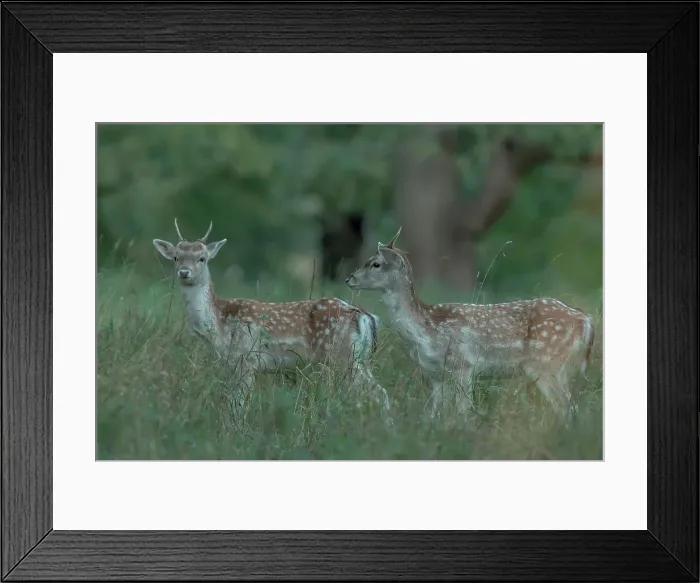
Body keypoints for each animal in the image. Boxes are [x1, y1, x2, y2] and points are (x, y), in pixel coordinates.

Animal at [153, 219, 391, 420]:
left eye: (202, 258)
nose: (184, 272)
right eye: (176, 257)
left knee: (377, 393)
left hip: (344, 356)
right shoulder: (232, 364)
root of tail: (366, 316)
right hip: (358, 358)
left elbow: (239, 404)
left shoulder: (246, 358)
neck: (219, 325)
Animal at [345, 227, 595, 426]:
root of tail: (585, 320)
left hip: (546, 364)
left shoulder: (463, 363)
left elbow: (462, 411)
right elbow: (432, 414)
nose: (349, 279)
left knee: (566, 407)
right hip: (559, 368)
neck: (424, 330)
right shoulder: (435, 374)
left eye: (375, 264)